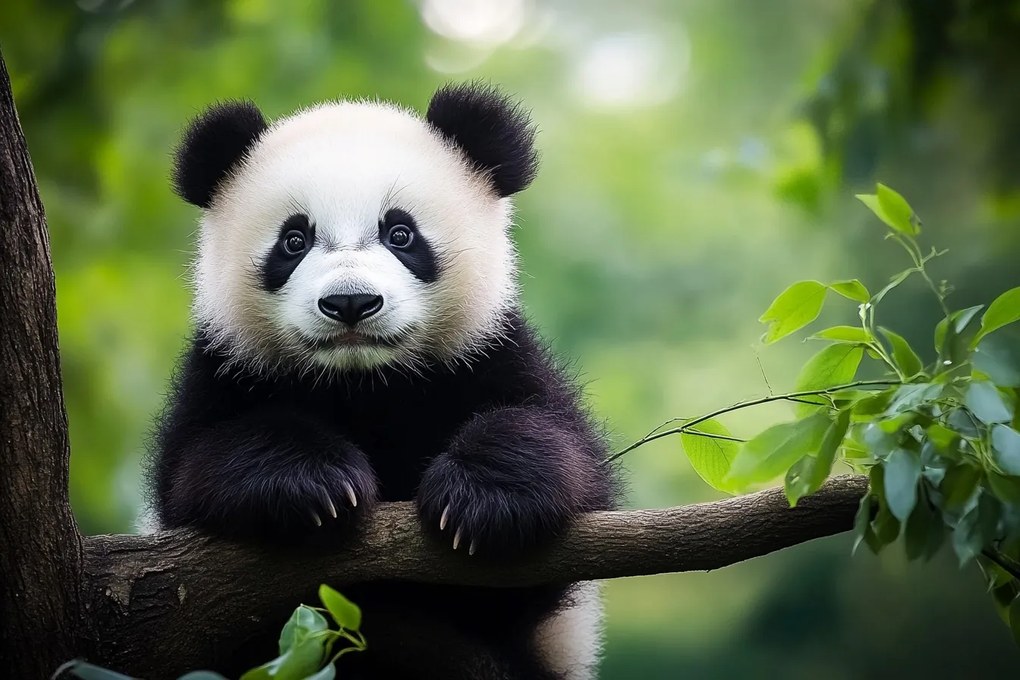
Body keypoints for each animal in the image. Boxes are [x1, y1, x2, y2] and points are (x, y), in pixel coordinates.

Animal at [149, 83, 620, 680]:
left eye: (400, 233)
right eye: (293, 240)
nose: (351, 303)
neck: (365, 382)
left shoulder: (487, 353)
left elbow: (555, 445)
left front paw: (480, 498)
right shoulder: (227, 369)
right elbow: (196, 470)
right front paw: (316, 484)